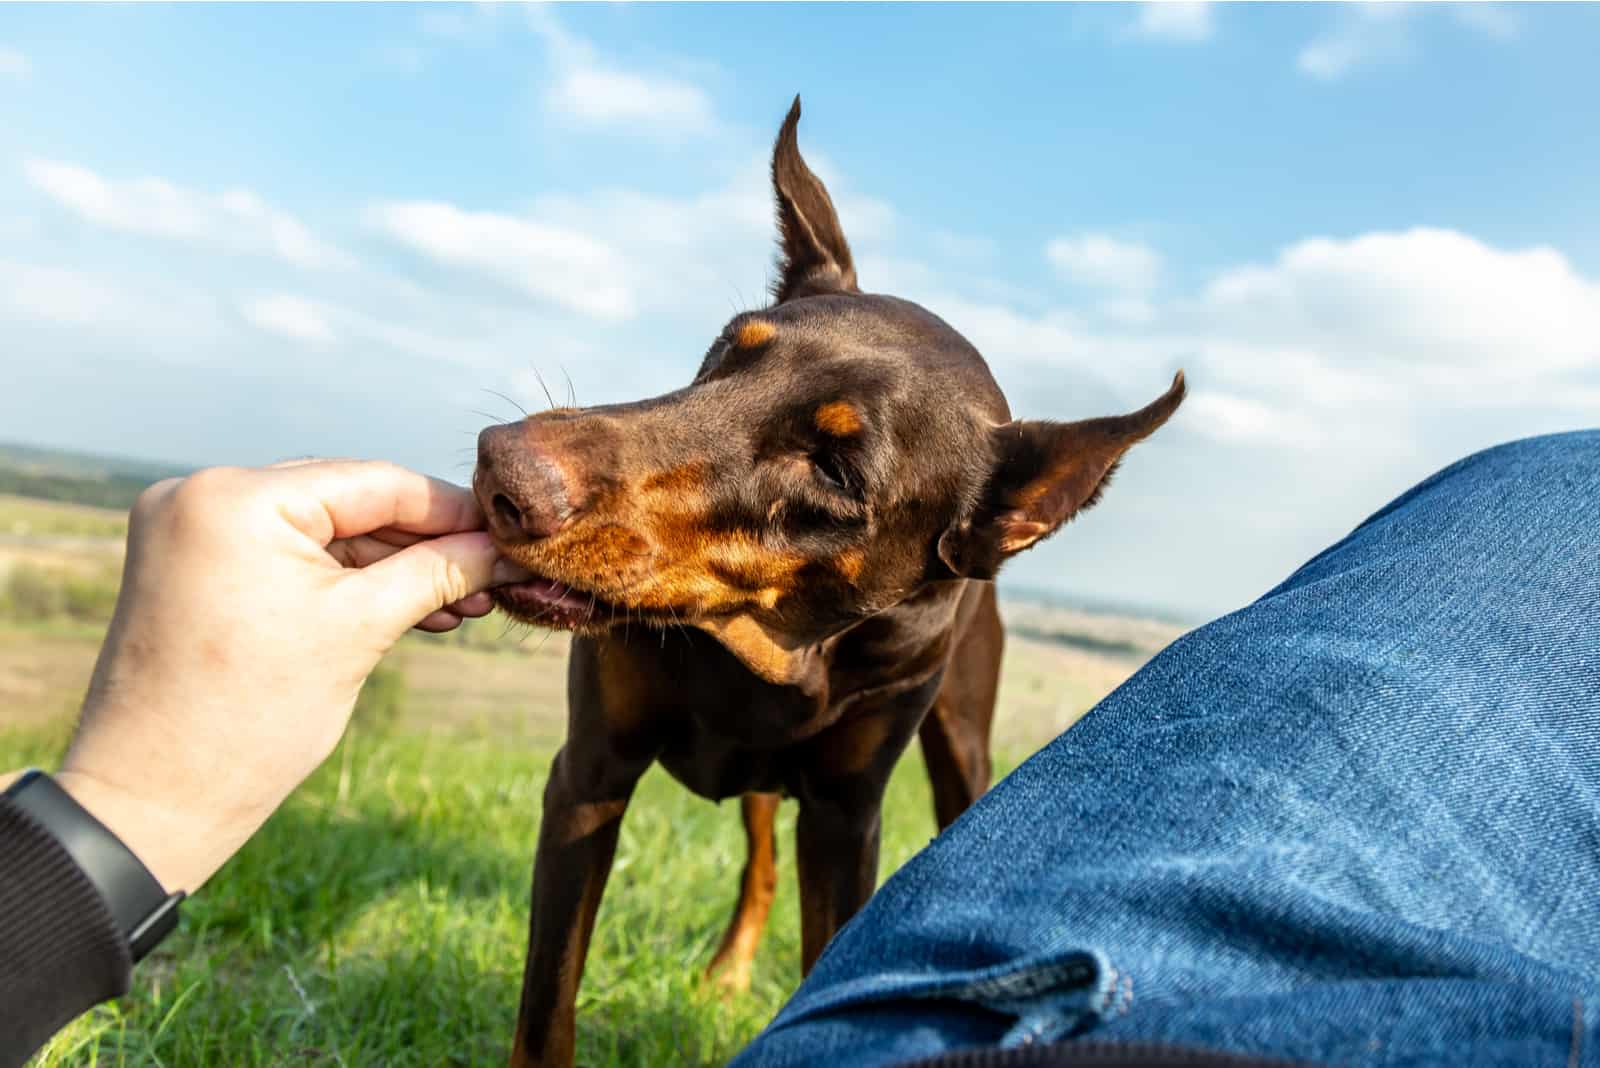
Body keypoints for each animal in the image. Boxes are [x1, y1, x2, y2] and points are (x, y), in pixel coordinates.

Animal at [473, 99, 1190, 1068]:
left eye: (839, 470)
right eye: (726, 348)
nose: (503, 472)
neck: (770, 657)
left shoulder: (847, 818)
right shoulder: (590, 774)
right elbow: (547, 1003)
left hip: (959, 742)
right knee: (758, 858)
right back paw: (729, 968)